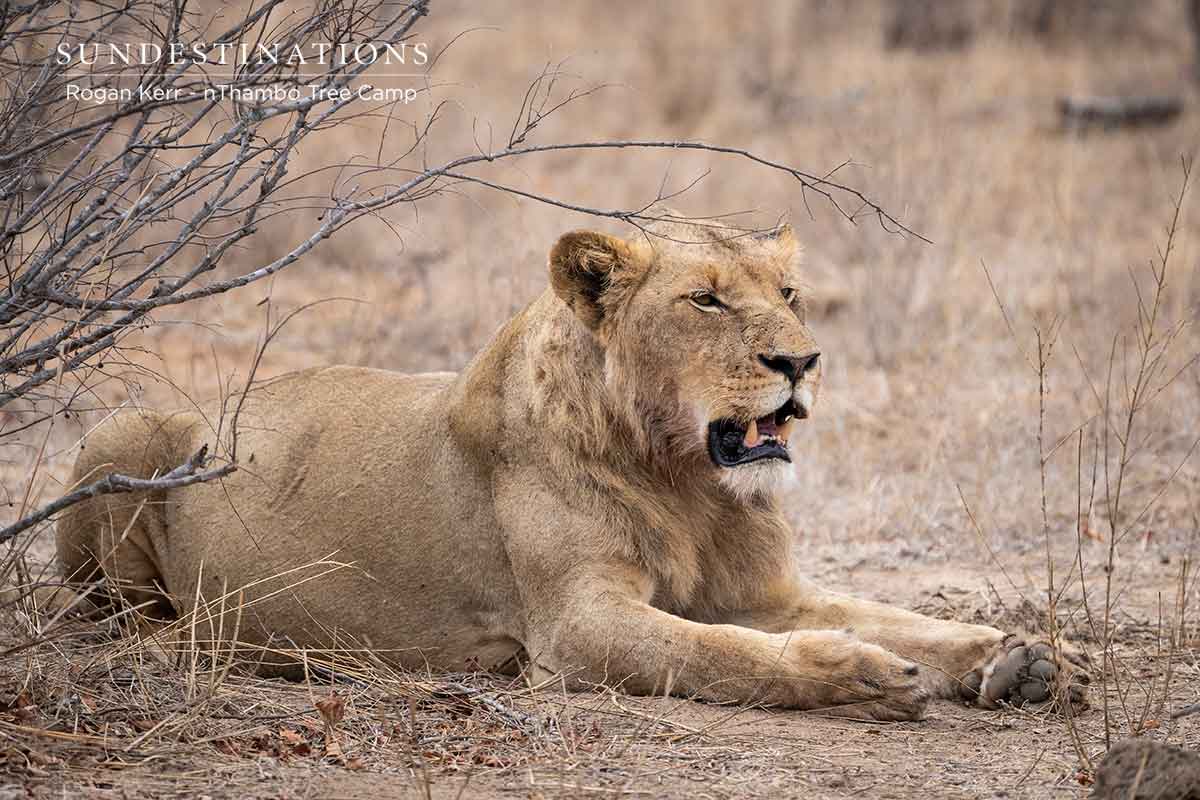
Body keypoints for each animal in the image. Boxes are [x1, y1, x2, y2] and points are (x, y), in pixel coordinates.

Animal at [56, 218, 1085, 720]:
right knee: (113, 617)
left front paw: (1023, 659)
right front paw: (863, 677)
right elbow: (730, 654)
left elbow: (898, 616)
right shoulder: (576, 627)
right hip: (119, 431)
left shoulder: (765, 591)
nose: (801, 361)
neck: (688, 481)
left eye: (790, 293)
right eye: (706, 300)